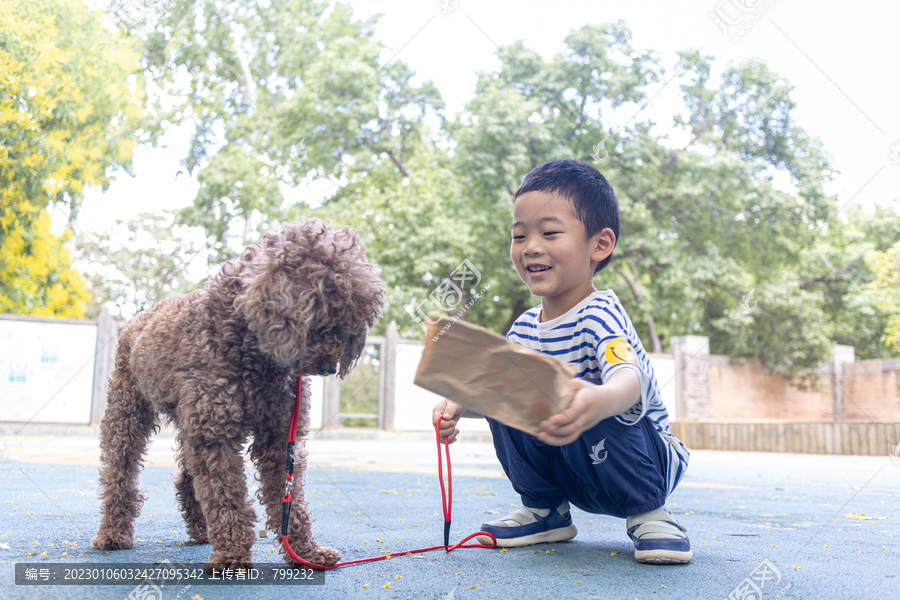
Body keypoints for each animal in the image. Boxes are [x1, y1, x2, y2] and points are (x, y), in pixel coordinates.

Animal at [89, 219, 384, 572]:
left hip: (189, 423)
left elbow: (288, 500)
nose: (329, 367)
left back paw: (201, 530)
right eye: (321, 315)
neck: (253, 351)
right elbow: (226, 496)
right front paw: (231, 555)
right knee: (120, 473)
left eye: (348, 324)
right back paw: (113, 533)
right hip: (128, 414)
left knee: (186, 478)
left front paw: (305, 552)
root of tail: (141, 316)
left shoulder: (278, 435)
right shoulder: (215, 435)